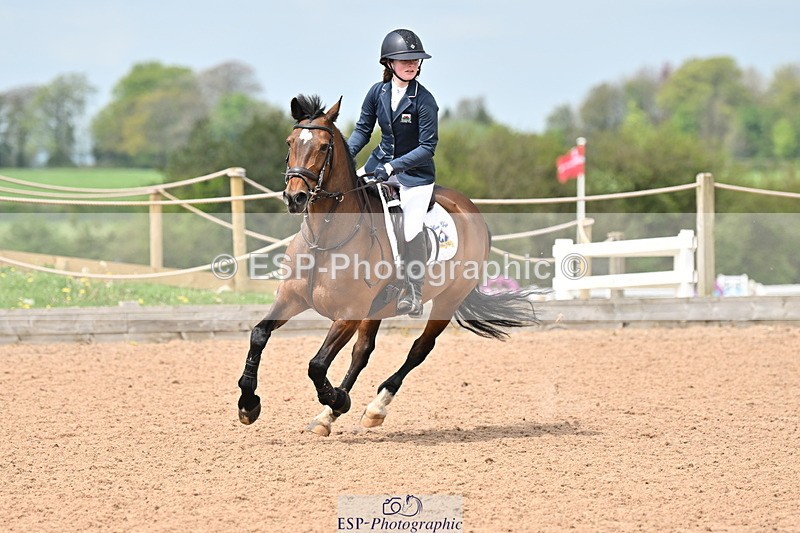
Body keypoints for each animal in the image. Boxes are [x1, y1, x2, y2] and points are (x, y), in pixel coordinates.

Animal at [236, 94, 538, 436]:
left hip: (447, 299)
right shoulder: (292, 299)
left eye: (324, 147)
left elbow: (317, 364)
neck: (324, 238)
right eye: (290, 143)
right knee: (363, 352)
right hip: (378, 308)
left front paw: (337, 398)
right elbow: (259, 335)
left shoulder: (349, 314)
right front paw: (248, 404)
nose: (295, 197)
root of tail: (471, 210)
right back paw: (329, 416)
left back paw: (374, 406)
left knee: (419, 348)